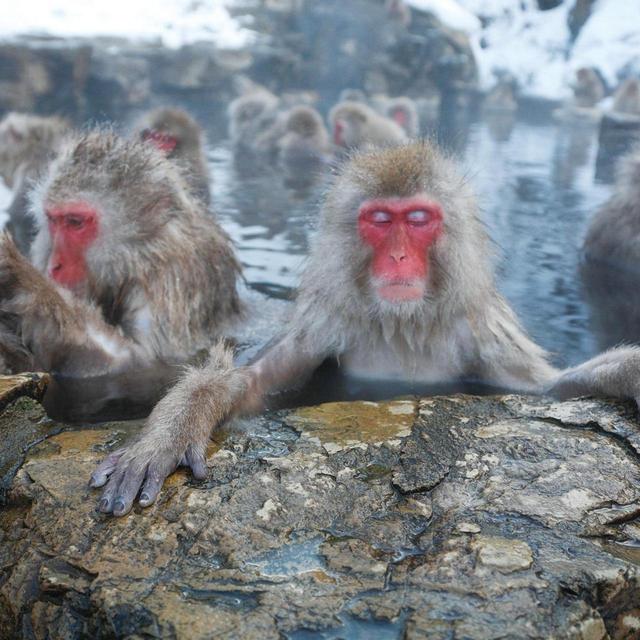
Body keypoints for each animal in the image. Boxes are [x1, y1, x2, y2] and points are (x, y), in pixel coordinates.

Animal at [0, 130, 241, 378]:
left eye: (75, 222)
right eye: (53, 220)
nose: (54, 266)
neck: (137, 254)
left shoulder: (170, 283)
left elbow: (137, 362)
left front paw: (24, 279)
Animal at [89, 141, 640, 517]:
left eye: (417, 219)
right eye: (379, 220)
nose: (397, 257)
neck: (404, 323)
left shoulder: (482, 331)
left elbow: (545, 389)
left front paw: (628, 373)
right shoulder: (328, 321)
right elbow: (248, 385)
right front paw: (169, 433)